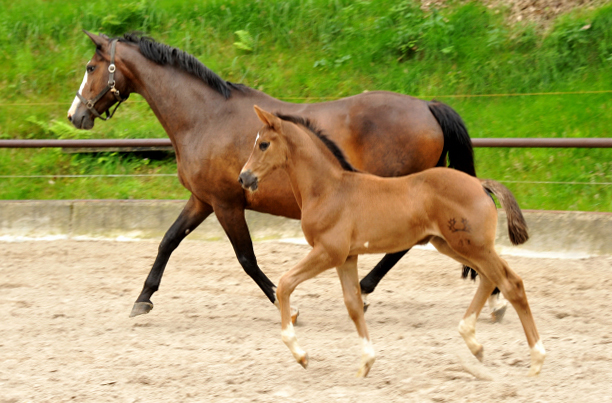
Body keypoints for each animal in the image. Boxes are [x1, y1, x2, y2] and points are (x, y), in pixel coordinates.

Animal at [239, 105, 544, 378]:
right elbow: (353, 305)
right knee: (490, 279)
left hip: (473, 246)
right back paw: (474, 343)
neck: (328, 189)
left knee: (512, 283)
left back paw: (536, 359)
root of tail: (480, 184)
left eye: (263, 144)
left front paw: (301, 355)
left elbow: (285, 284)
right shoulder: (347, 257)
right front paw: (366, 363)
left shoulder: (328, 252)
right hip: (452, 245)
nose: (244, 177)